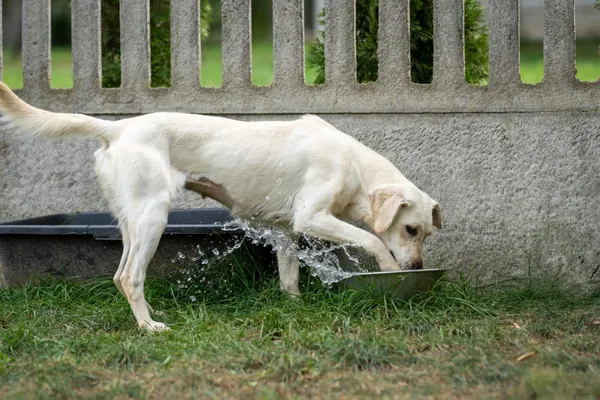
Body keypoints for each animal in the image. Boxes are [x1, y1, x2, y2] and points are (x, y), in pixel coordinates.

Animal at [0, 82, 440, 332]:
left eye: (426, 233)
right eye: (410, 229)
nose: (418, 267)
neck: (353, 166)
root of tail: (119, 126)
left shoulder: (286, 230)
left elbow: (289, 278)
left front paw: (296, 306)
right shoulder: (311, 217)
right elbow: (372, 240)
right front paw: (389, 270)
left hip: (132, 221)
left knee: (120, 275)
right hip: (153, 217)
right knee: (129, 277)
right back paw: (149, 327)